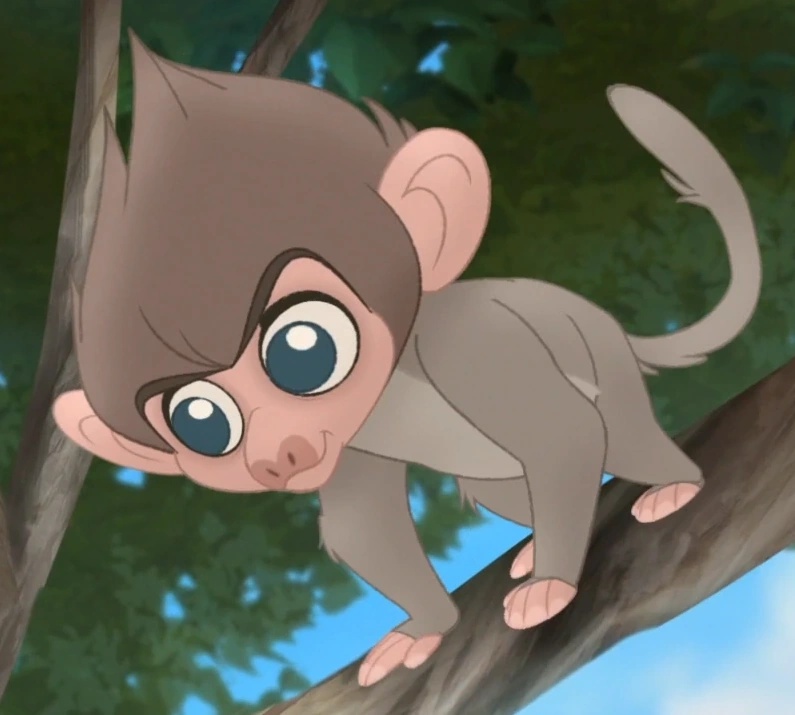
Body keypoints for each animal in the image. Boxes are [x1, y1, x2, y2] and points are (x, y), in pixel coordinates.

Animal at [52, 31, 761, 689]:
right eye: (201, 423)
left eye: (303, 350)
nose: (278, 459)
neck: (392, 386)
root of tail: (604, 321)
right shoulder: (347, 443)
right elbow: (364, 526)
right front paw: (426, 629)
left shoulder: (473, 348)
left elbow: (564, 436)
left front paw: (554, 585)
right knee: (509, 483)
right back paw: (538, 540)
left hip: (601, 367)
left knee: (615, 440)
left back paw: (671, 485)